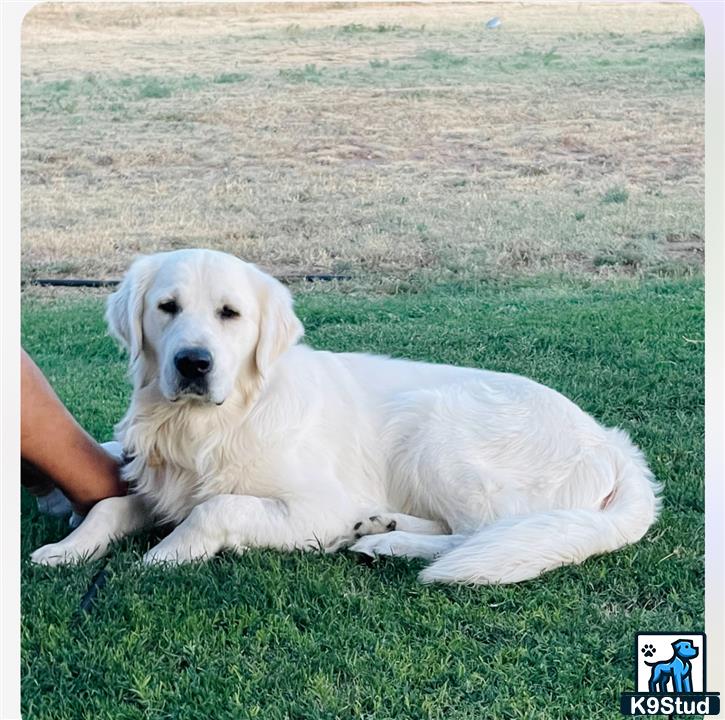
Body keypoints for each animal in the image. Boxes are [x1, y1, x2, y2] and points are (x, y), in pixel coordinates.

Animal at [31, 250, 660, 584]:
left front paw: (166, 554)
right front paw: (68, 549)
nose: (193, 363)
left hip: (434, 424)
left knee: (482, 533)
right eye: (167, 307)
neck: (211, 424)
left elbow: (218, 508)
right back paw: (380, 527)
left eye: (230, 313)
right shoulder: (161, 482)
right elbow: (111, 506)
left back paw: (389, 545)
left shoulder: (317, 504)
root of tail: (611, 443)